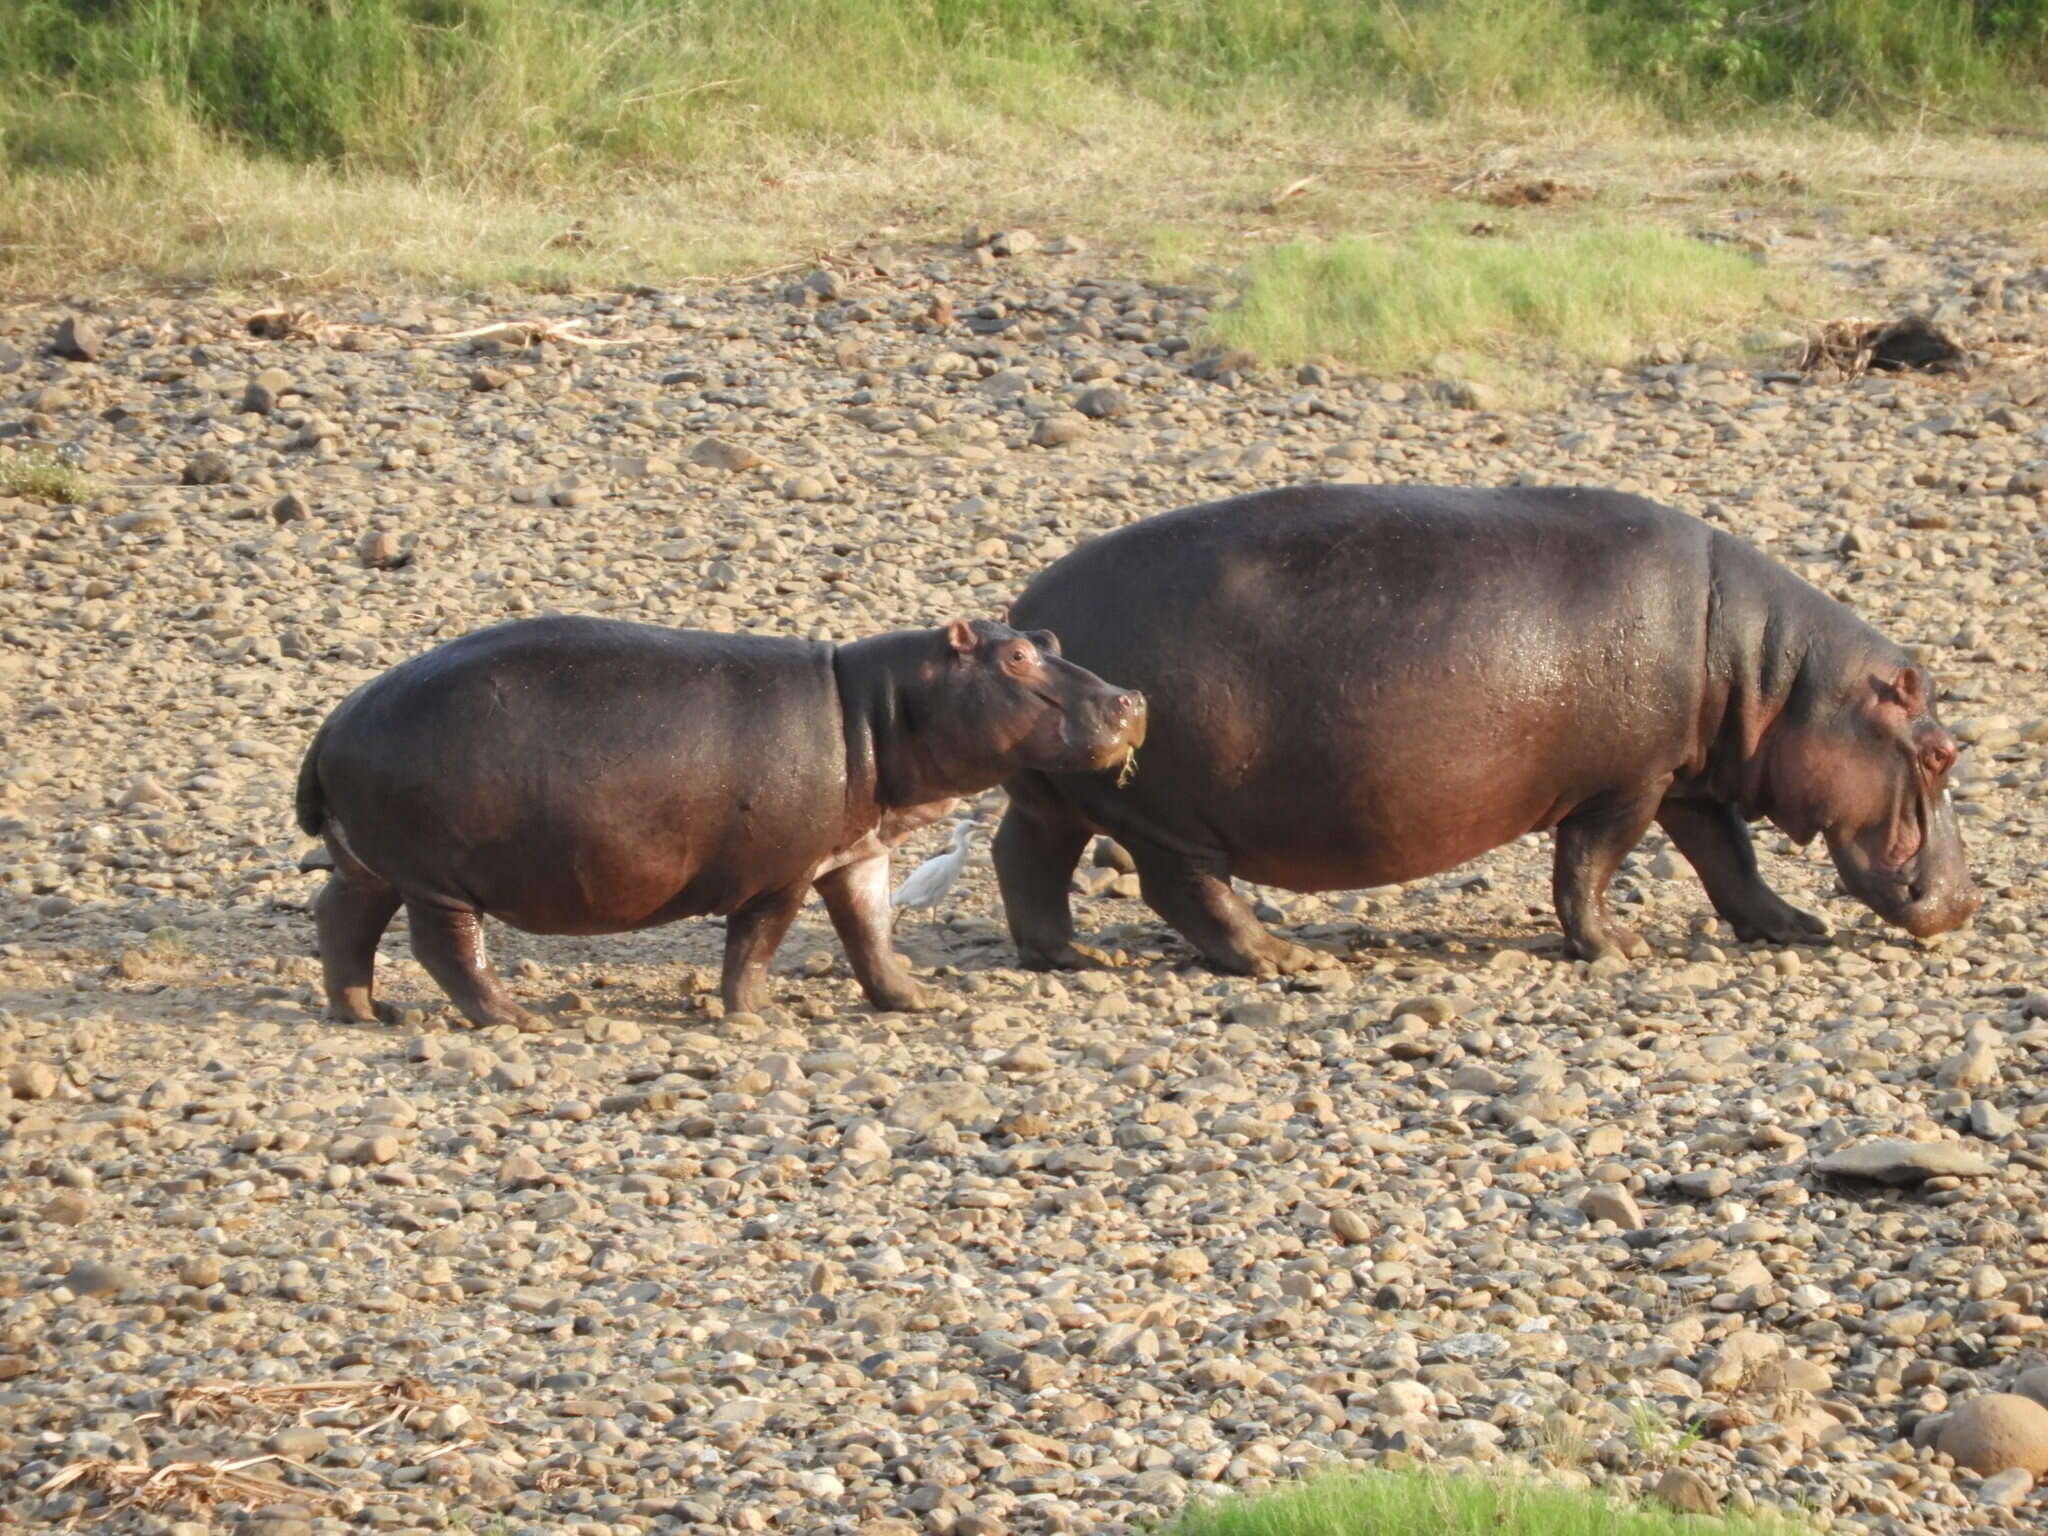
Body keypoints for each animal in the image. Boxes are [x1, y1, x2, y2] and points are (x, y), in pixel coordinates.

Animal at [296, 606, 1146, 1028]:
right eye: (1016, 659)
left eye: (1048, 637)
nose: (1131, 698)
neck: (882, 706)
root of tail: (333, 723)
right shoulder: (783, 871)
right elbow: (756, 945)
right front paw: (752, 1017)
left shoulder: (857, 852)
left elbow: (872, 934)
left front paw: (915, 999)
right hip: (438, 876)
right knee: (445, 948)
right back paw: (517, 1019)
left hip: (373, 863)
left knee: (341, 917)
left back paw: (366, 1012)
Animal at [999, 487, 1974, 974]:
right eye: (1940, 752)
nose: (1965, 903)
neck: (1774, 672)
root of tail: (1027, 615)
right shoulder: (1629, 785)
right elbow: (1588, 868)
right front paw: (1617, 950)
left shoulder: (1686, 779)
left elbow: (1730, 860)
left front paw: (1795, 927)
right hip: (1169, 817)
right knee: (1187, 890)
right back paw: (1284, 959)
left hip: (1060, 793)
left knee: (1027, 856)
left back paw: (1066, 954)